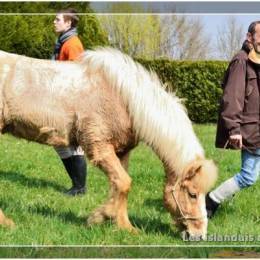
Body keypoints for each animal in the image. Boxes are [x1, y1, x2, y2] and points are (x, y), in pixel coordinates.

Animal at [0, 47, 216, 240]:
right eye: (192, 194)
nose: (199, 236)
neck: (123, 98)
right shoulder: (99, 147)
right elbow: (124, 183)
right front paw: (100, 217)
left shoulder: (122, 152)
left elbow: (120, 185)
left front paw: (124, 227)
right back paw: (7, 223)